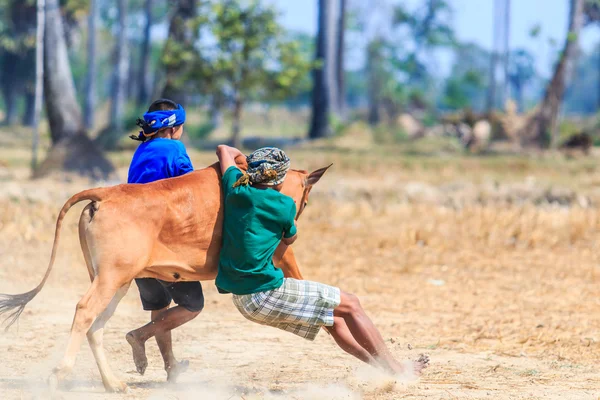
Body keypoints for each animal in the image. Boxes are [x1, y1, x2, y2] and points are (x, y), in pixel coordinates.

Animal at [0, 158, 328, 392]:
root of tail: (105, 194)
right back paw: (61, 374)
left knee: (97, 325)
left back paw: (113, 382)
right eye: (305, 200)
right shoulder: (282, 251)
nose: (297, 224)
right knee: (84, 312)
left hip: (116, 280)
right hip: (110, 278)